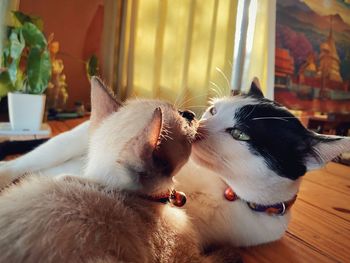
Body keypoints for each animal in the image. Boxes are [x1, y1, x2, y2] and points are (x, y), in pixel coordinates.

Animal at [0, 78, 350, 248]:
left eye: (240, 134)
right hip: (66, 143)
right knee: (21, 165)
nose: (202, 124)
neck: (221, 188)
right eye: (214, 111)